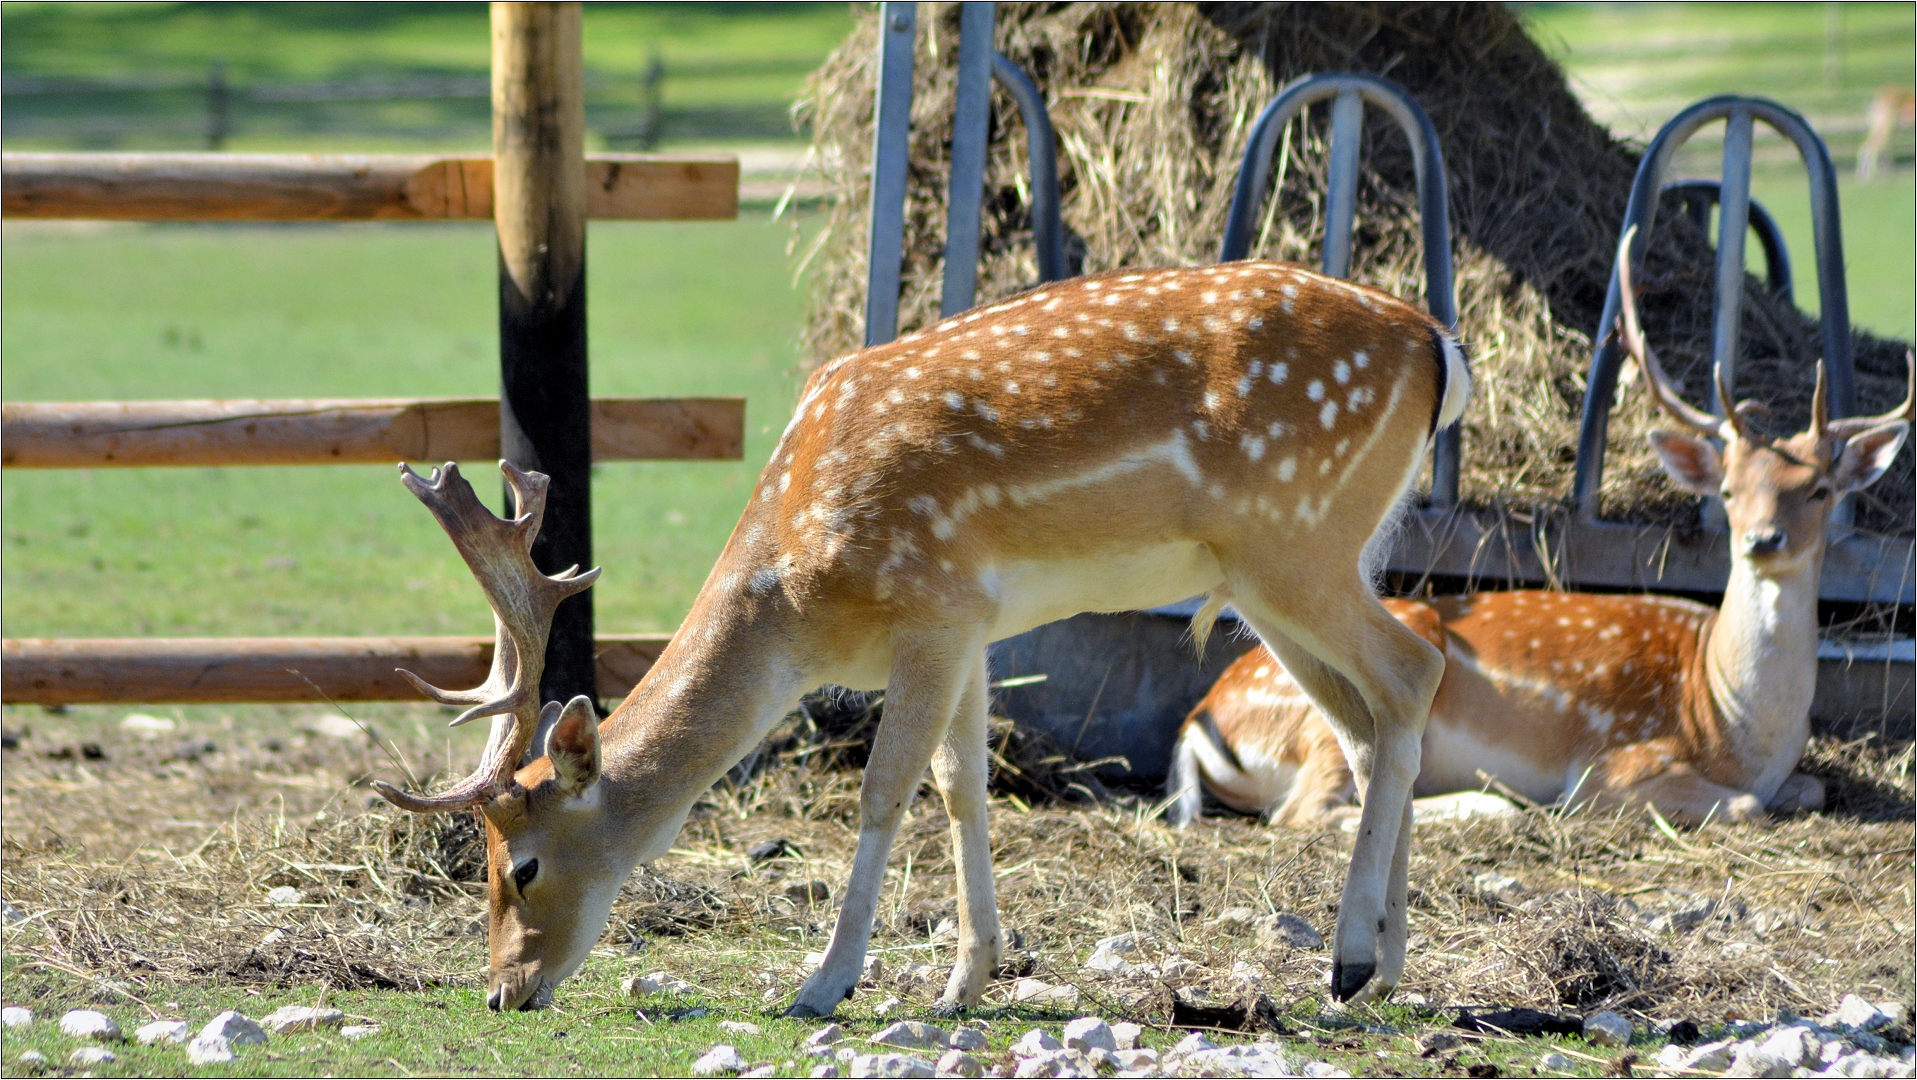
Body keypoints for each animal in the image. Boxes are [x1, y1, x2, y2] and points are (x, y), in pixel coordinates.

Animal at [377, 262, 1479, 1012]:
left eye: (520, 866)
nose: (502, 991)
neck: (802, 608)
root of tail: (1442, 348)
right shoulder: (973, 628)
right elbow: (961, 787)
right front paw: (964, 981)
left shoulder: (932, 603)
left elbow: (882, 790)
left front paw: (823, 984)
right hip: (1297, 565)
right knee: (1367, 722)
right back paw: (1388, 963)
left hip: (1292, 540)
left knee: (1415, 670)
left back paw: (1349, 958)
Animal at [1157, 238, 1909, 836]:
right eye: (1726, 492)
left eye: (1820, 490)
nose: (1762, 540)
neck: (1731, 721)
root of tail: (1200, 716)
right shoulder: (1616, 762)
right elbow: (1746, 806)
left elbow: (1812, 787)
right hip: (1331, 710)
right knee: (1304, 809)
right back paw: (1491, 805)